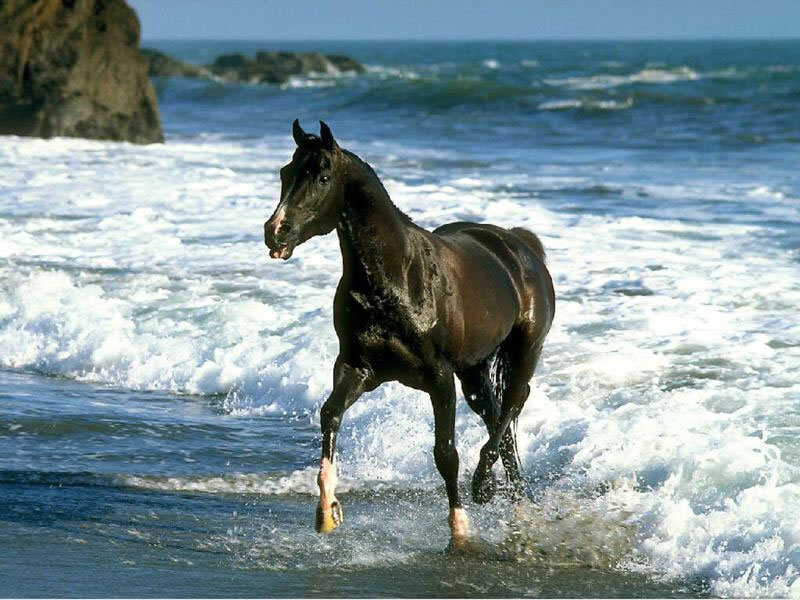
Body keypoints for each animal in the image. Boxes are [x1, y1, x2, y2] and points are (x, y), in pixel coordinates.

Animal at [264, 120, 555, 547]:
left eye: (322, 177)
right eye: (285, 173)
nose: (276, 232)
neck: (395, 279)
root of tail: (520, 243)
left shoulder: (439, 377)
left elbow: (445, 453)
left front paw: (460, 529)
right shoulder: (357, 368)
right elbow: (330, 415)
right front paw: (327, 511)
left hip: (524, 352)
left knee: (514, 403)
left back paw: (485, 486)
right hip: (474, 371)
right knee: (498, 421)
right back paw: (514, 504)